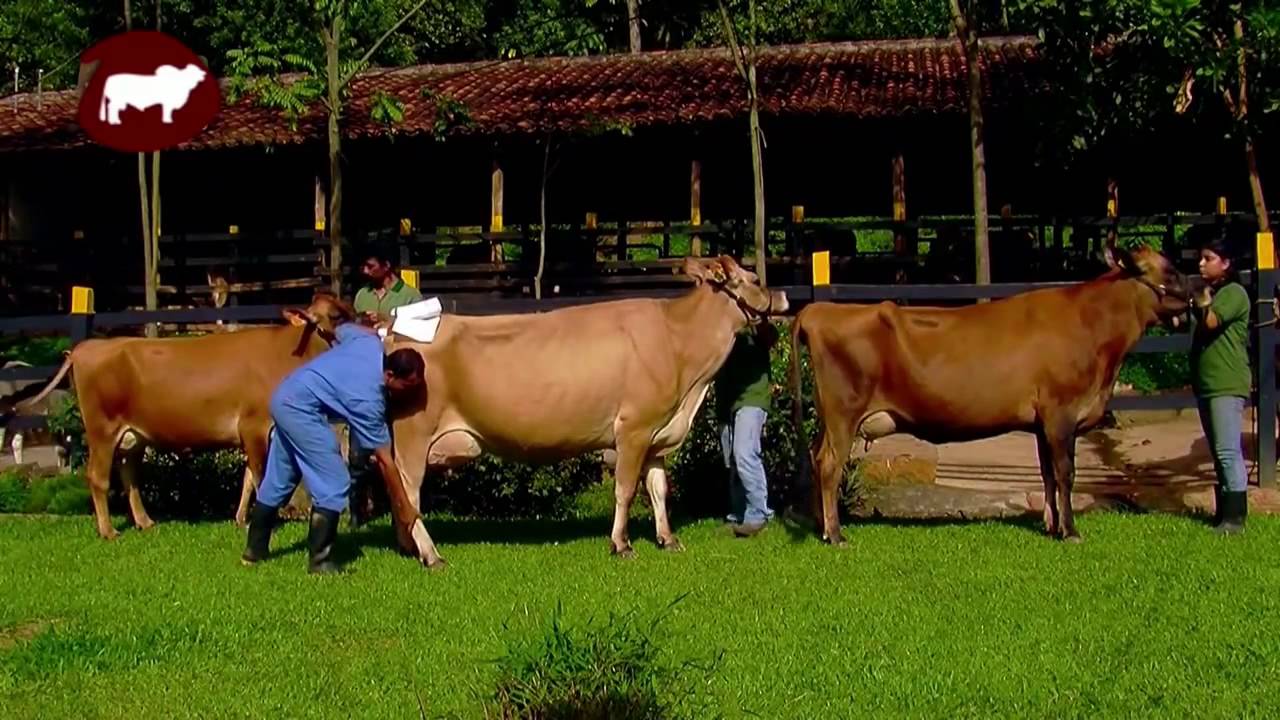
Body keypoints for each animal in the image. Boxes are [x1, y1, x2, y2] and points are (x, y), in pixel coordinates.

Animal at [10, 293, 354, 539]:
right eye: (336, 316)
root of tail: (86, 348)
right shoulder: (255, 426)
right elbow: (259, 475)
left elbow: (246, 478)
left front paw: (240, 519)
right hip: (101, 429)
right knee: (98, 477)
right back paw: (108, 530)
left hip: (132, 436)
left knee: (129, 475)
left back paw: (145, 521)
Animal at [379, 256, 789, 567]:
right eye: (755, 279)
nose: (784, 295)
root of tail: (393, 331)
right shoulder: (634, 429)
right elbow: (625, 489)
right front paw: (621, 545)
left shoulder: (658, 435)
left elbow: (658, 489)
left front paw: (667, 539)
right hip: (414, 434)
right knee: (409, 491)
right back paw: (431, 555)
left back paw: (409, 548)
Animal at [788, 245, 1193, 546]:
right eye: (1169, 271)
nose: (1197, 291)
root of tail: (818, 310)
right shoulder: (1060, 414)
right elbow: (1066, 472)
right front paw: (1070, 531)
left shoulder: (1042, 423)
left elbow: (1046, 473)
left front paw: (1051, 525)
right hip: (844, 413)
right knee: (829, 464)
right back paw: (836, 534)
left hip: (830, 417)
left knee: (816, 458)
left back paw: (821, 527)